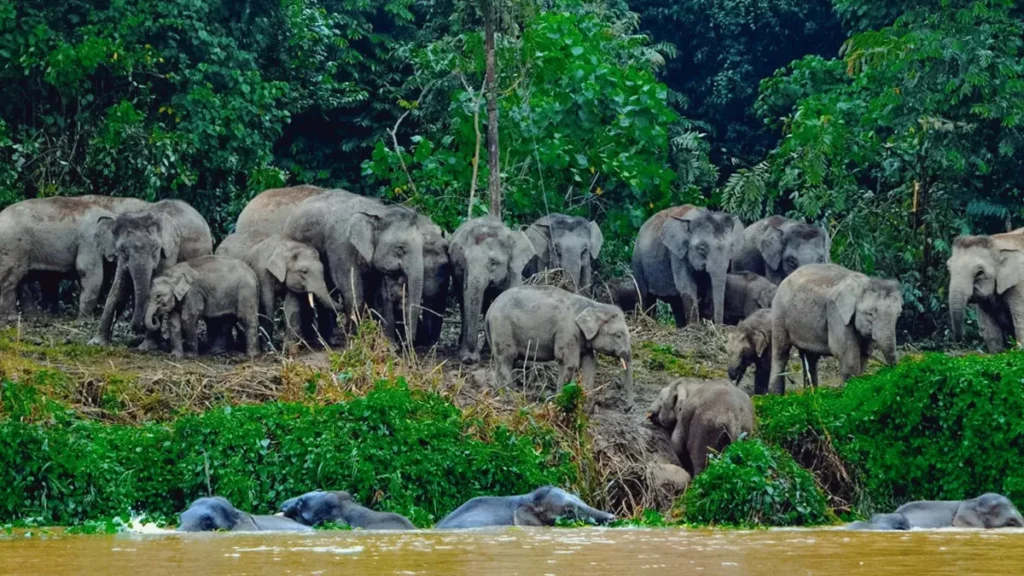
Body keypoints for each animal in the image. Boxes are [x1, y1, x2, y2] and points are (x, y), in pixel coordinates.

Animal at [0, 195, 147, 319]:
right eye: (125, 249)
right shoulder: (88, 242)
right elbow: (90, 273)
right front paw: (83, 320)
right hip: (14, 246)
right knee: (11, 280)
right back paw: (12, 318)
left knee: (23, 279)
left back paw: (35, 316)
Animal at [89, 200, 213, 349]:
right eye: (123, 250)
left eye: (155, 249)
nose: (138, 327)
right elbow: (118, 289)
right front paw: (96, 343)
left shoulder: (170, 250)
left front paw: (147, 347)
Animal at [485, 285, 633, 402]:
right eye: (618, 335)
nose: (628, 408)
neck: (594, 305)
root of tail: (491, 307)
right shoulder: (568, 330)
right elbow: (569, 363)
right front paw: (561, 399)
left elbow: (589, 364)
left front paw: (585, 402)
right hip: (502, 327)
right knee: (506, 358)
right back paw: (509, 397)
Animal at [769, 264, 903, 394]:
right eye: (869, 314)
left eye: (898, 315)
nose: (891, 372)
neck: (863, 283)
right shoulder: (836, 313)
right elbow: (846, 354)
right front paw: (849, 392)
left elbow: (864, 354)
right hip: (779, 314)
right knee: (781, 353)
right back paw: (776, 396)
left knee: (811, 358)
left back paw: (812, 394)